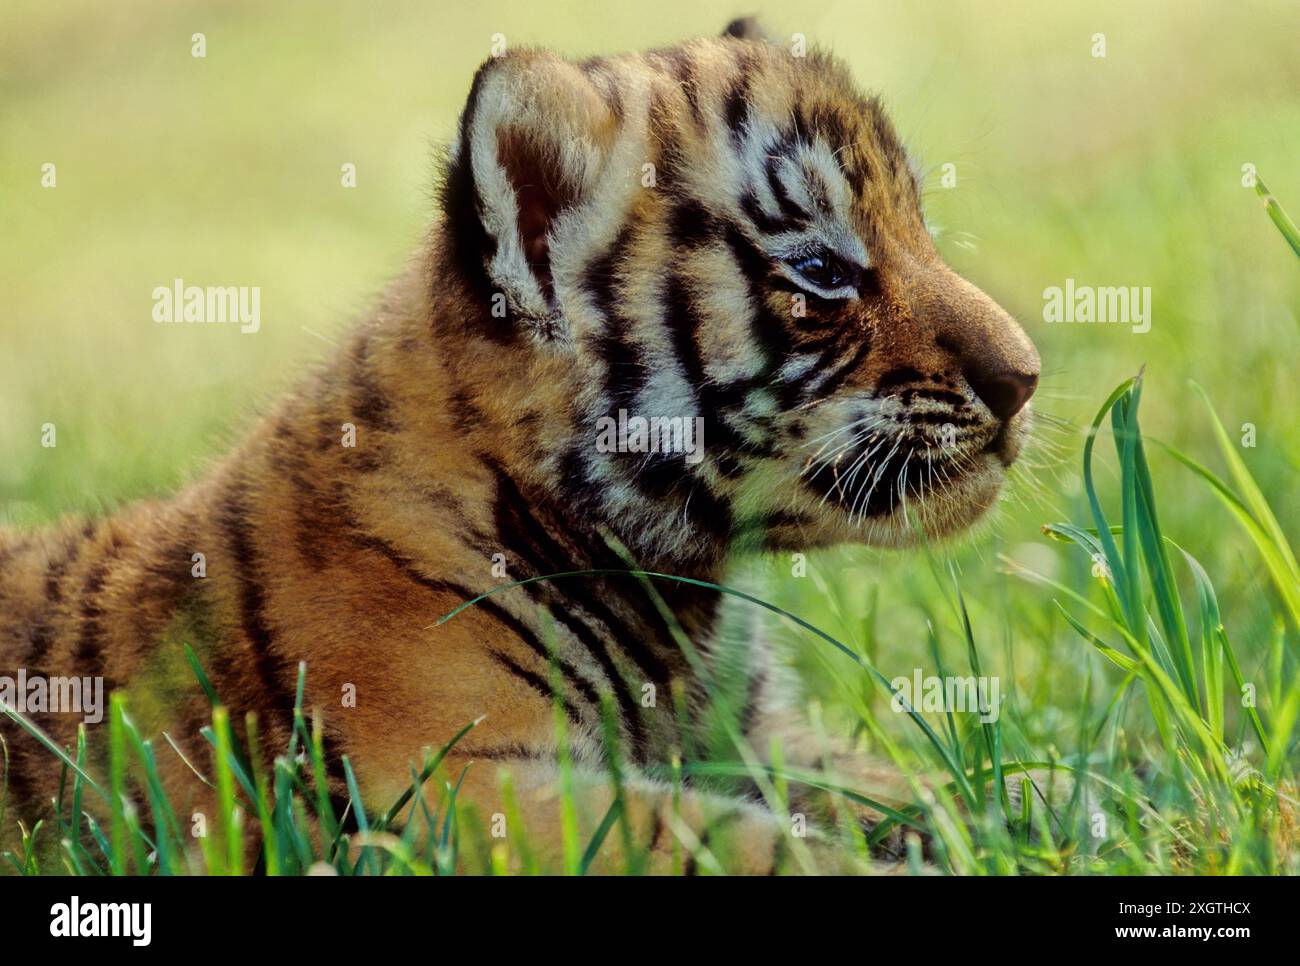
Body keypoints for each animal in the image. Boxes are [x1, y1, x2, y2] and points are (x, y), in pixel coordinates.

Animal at [0, 18, 1039, 874]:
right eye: (823, 270)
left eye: (921, 231)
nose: (1026, 379)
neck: (679, 590)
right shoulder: (461, 783)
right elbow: (745, 847)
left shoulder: (754, 741)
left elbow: (894, 779)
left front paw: (1034, 801)